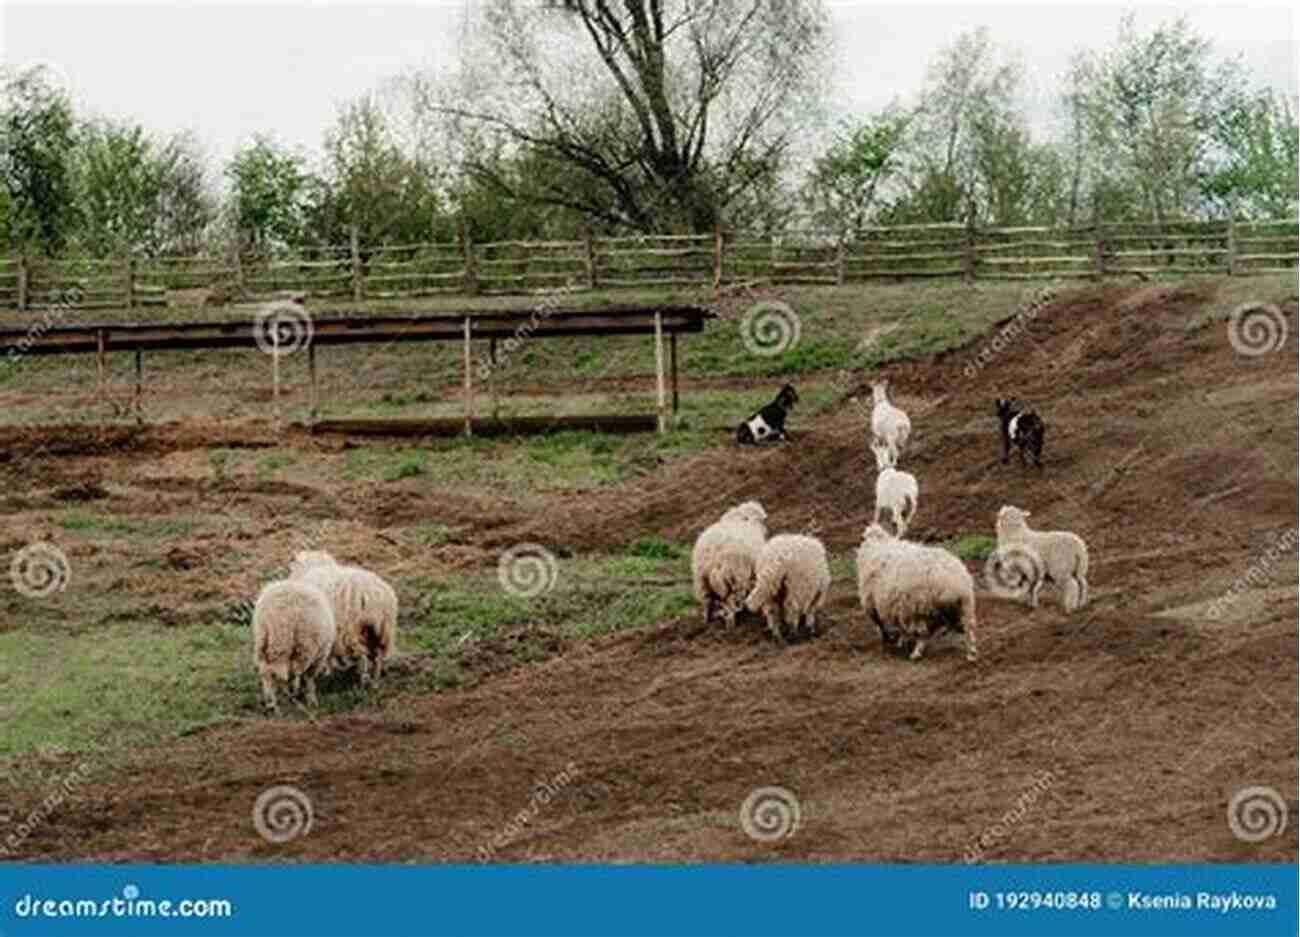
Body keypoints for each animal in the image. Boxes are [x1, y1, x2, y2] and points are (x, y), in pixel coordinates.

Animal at [250, 577, 338, 717]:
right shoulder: (317, 657)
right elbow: (308, 677)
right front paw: (310, 699)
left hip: (263, 641)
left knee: (267, 672)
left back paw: (271, 703)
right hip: (300, 645)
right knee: (283, 673)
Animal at [289, 548, 395, 686]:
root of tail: (370, 593)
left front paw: (328, 671)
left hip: (352, 630)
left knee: (363, 656)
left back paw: (361, 681)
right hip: (381, 631)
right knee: (377, 656)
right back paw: (375, 681)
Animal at [691, 496, 769, 628]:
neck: (744, 521)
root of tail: (712, 555)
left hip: (702, 582)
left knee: (707, 603)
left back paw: (707, 621)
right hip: (733, 578)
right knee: (730, 603)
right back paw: (731, 624)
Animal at [852, 522, 977, 662]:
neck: (877, 544)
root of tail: (956, 582)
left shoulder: (872, 602)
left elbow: (880, 623)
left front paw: (889, 640)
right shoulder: (897, 606)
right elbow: (898, 627)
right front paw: (900, 640)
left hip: (920, 608)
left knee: (923, 634)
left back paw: (916, 653)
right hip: (966, 606)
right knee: (969, 627)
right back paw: (971, 653)